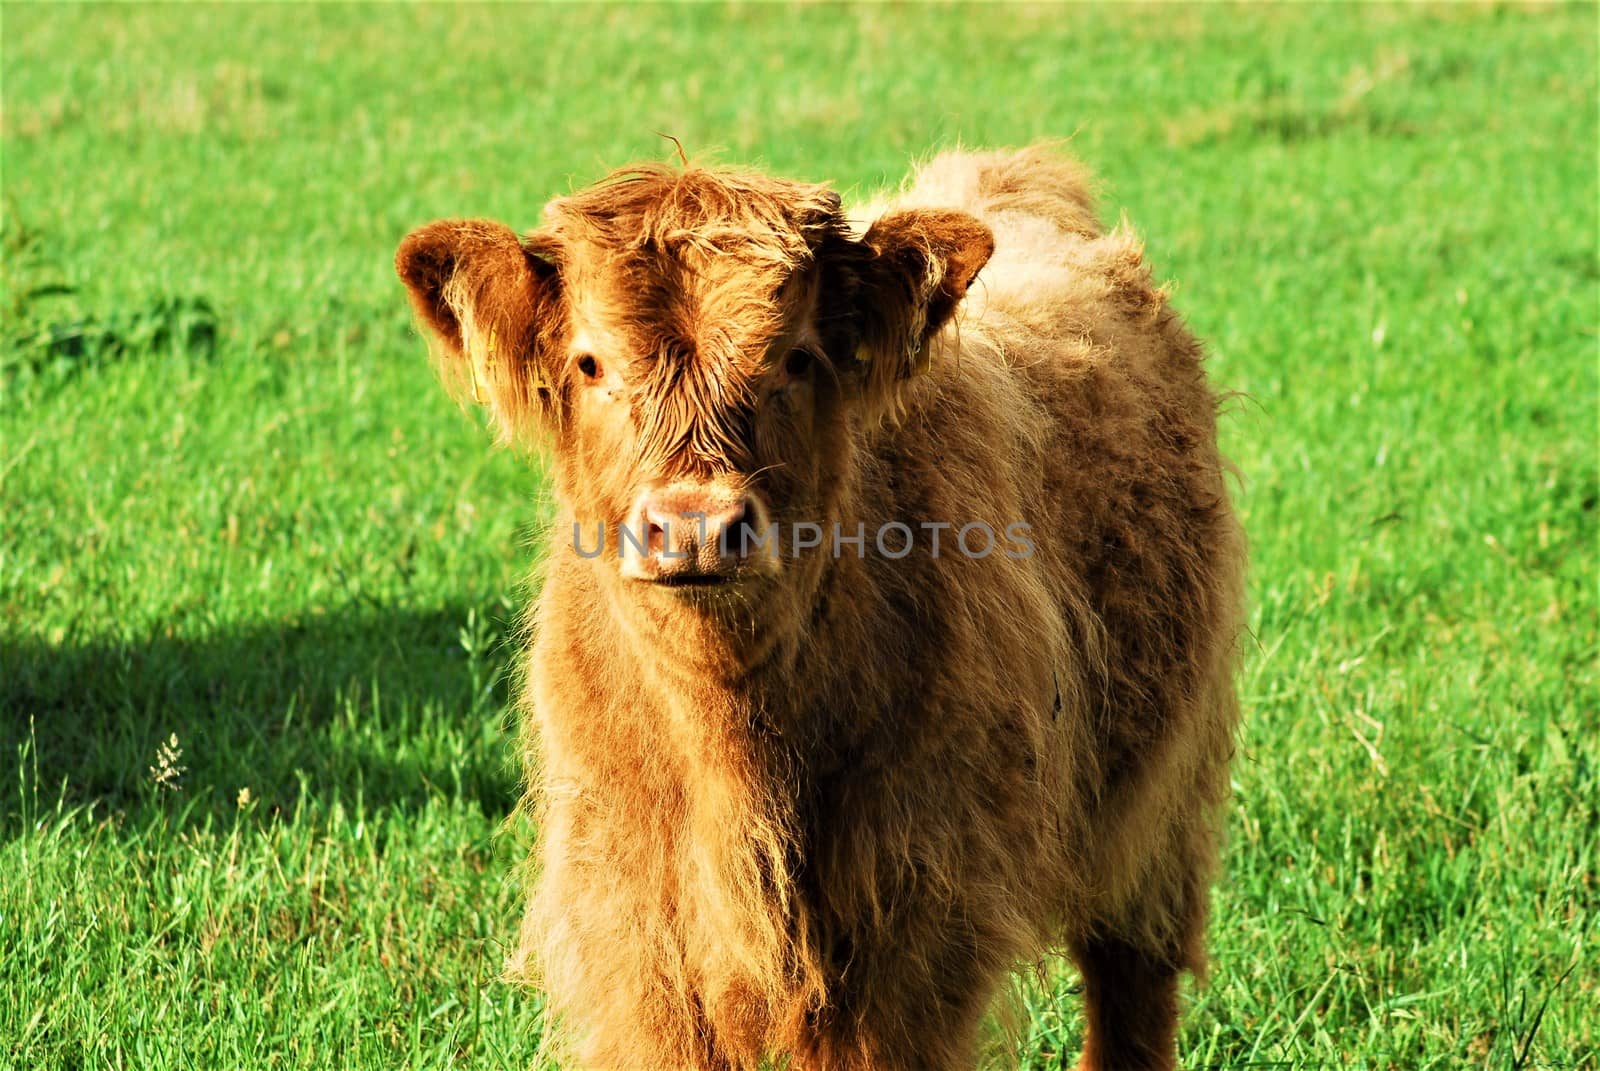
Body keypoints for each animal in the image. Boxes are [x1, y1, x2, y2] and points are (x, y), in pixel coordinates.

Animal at [393, 144, 1241, 1069]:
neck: (731, 745)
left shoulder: (912, 934)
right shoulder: (634, 929)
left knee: (1133, 975)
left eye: (796, 359)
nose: (694, 528)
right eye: (590, 363)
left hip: (1163, 807)